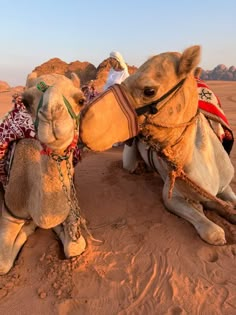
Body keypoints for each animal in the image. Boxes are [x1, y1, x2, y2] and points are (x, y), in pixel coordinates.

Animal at [0, 73, 86, 276]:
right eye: (25, 101)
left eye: (81, 100)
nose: (52, 113)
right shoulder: (10, 210)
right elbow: (2, 264)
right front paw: (29, 227)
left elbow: (76, 247)